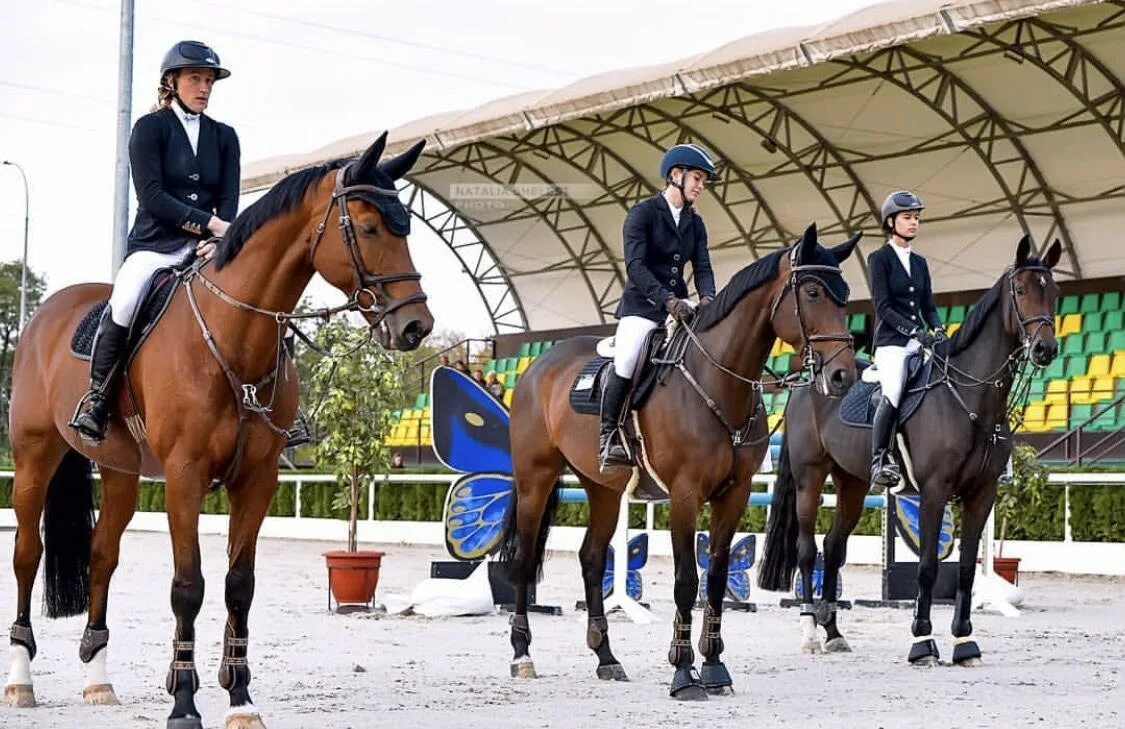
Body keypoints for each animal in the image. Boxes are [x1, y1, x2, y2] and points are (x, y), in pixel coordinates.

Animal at [4, 132, 432, 729]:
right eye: (369, 228)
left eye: (406, 227)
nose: (416, 326)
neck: (235, 334)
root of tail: (47, 313)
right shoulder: (185, 477)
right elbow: (189, 586)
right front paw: (184, 702)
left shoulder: (257, 479)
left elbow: (238, 586)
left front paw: (241, 699)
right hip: (33, 458)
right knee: (27, 553)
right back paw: (21, 680)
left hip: (119, 471)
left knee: (102, 555)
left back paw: (98, 680)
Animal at [499, 223, 859, 702]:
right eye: (815, 291)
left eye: (846, 295)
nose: (843, 376)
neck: (717, 381)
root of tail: (538, 365)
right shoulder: (686, 496)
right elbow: (686, 580)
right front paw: (684, 673)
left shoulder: (734, 494)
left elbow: (716, 577)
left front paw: (715, 667)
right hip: (535, 478)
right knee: (523, 560)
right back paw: (522, 655)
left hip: (602, 488)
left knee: (592, 558)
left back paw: (606, 657)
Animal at [756, 237, 1062, 666]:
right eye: (1020, 290)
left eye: (1053, 292)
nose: (1045, 349)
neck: (968, 396)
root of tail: (808, 381)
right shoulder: (934, 491)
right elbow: (928, 567)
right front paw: (922, 642)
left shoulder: (982, 494)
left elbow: (965, 568)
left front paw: (965, 644)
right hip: (810, 477)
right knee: (806, 550)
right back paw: (810, 633)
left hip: (852, 482)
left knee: (833, 548)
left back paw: (834, 633)